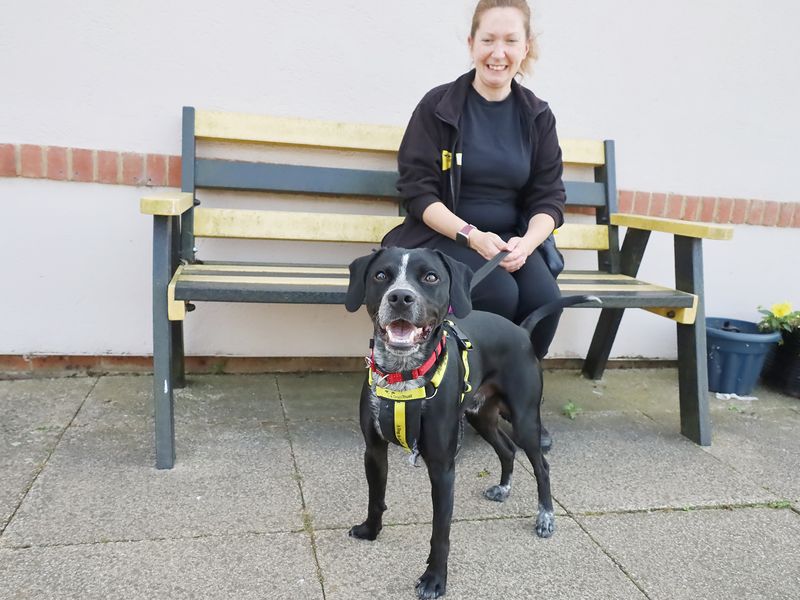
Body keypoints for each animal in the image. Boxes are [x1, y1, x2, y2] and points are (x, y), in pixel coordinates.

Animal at [346, 246, 596, 596]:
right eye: (381, 275)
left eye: (431, 277)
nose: (400, 298)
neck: (403, 374)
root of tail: (521, 330)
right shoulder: (373, 450)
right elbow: (375, 497)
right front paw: (371, 530)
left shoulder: (442, 468)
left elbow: (440, 532)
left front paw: (435, 579)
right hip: (482, 418)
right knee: (507, 450)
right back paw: (503, 489)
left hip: (524, 420)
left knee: (541, 466)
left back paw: (546, 517)